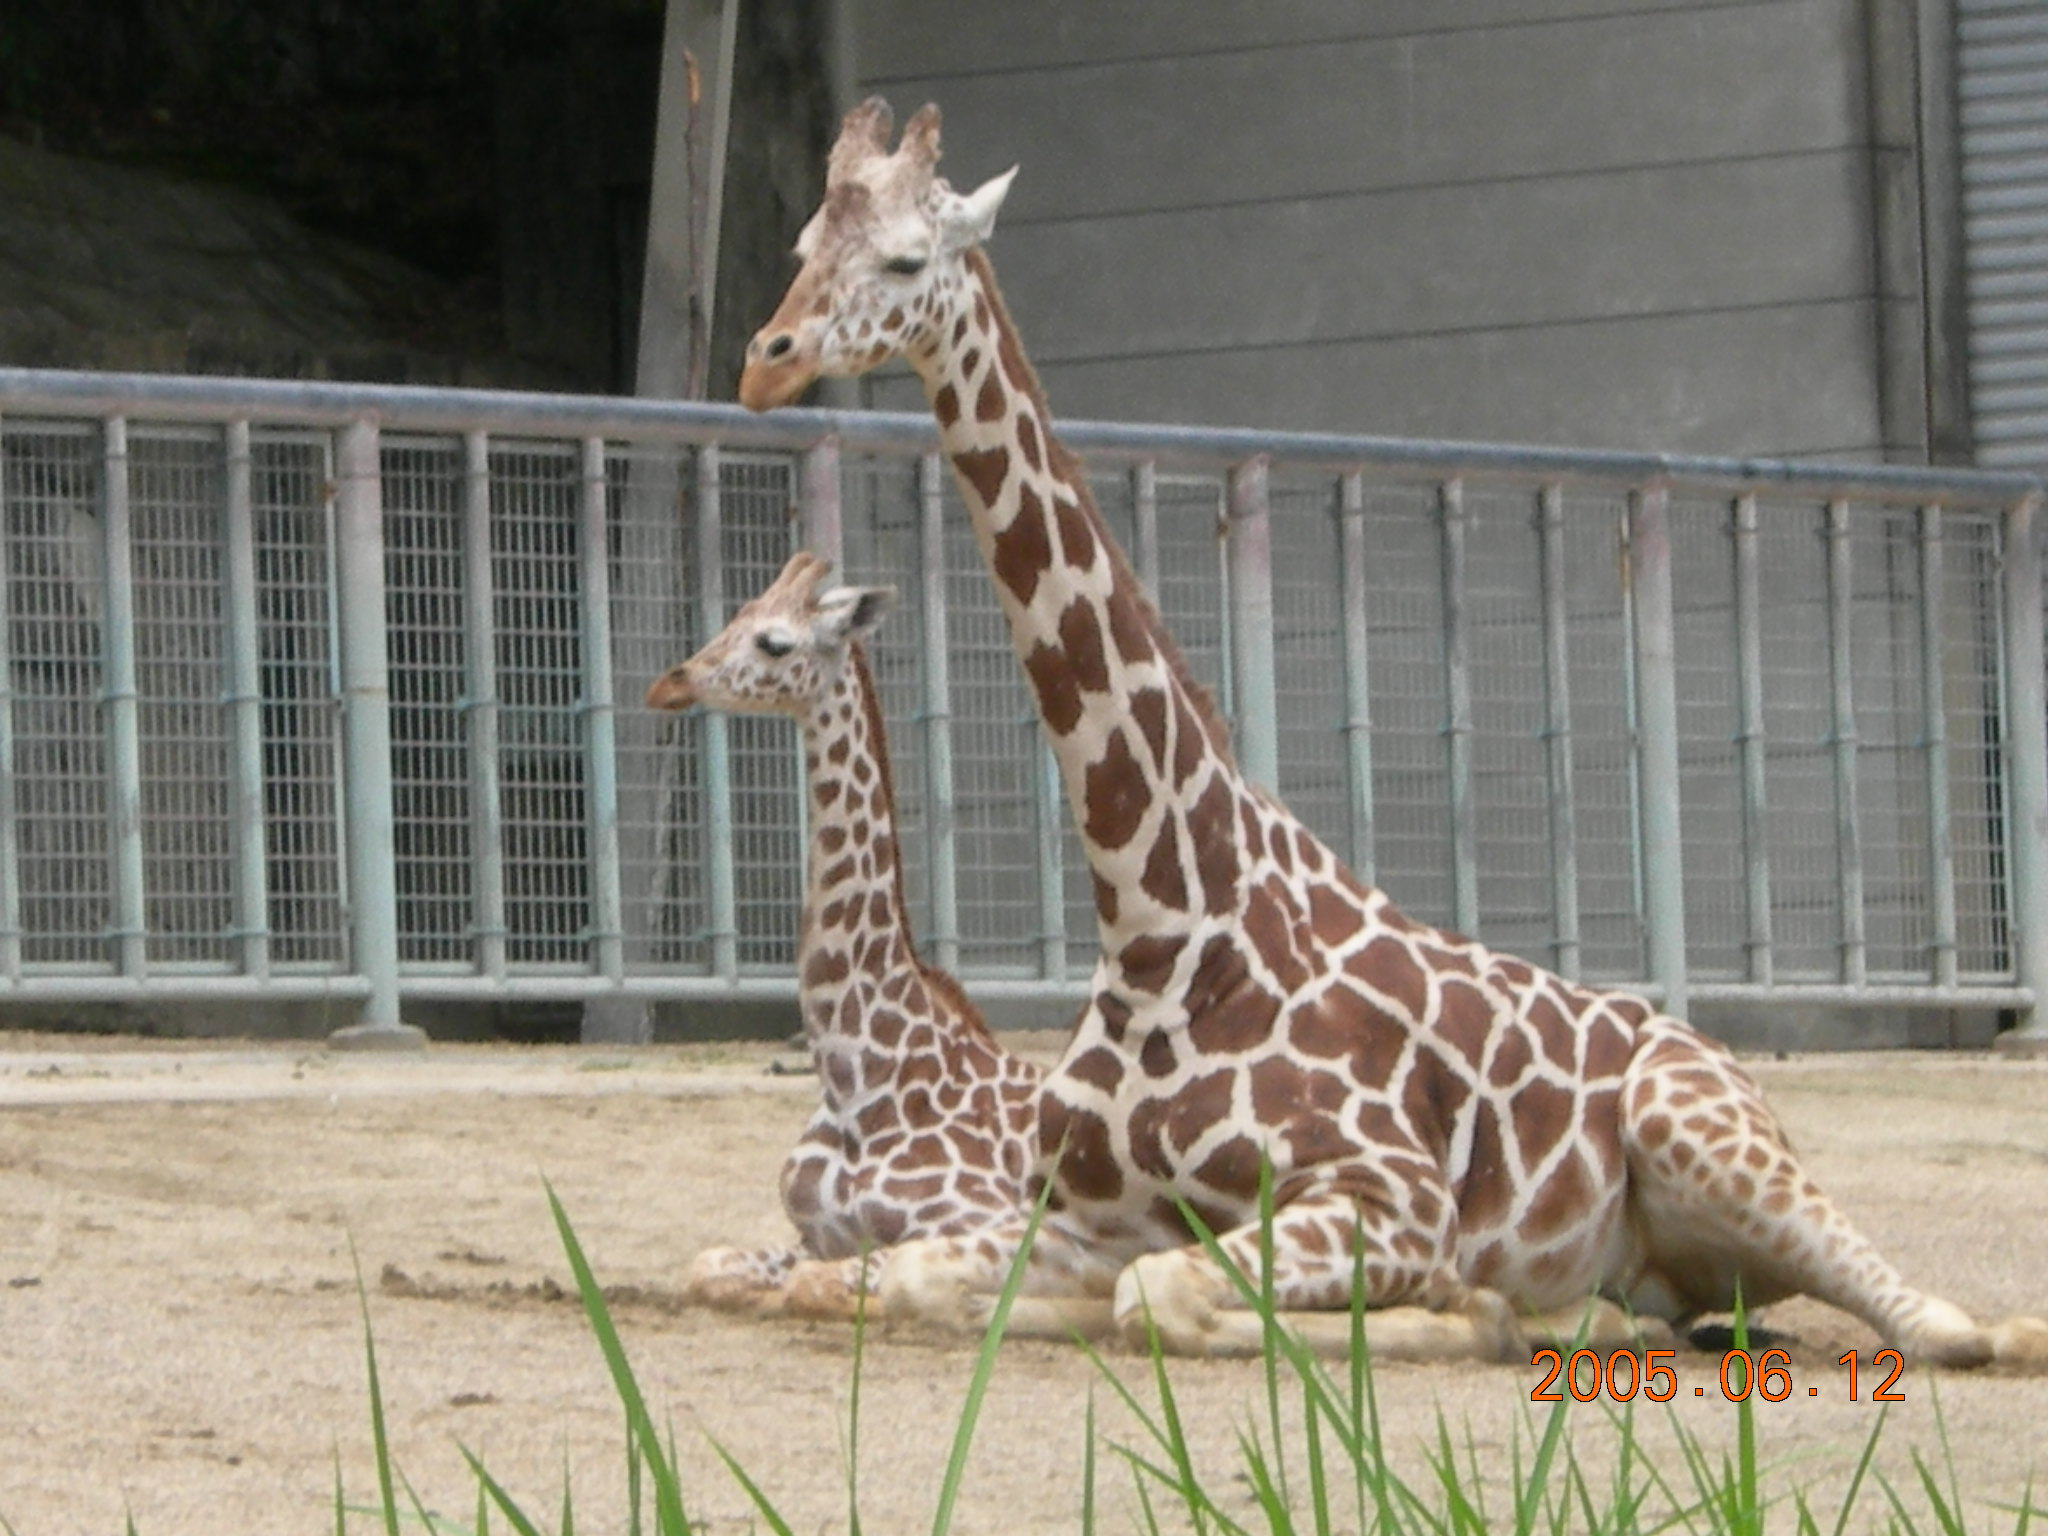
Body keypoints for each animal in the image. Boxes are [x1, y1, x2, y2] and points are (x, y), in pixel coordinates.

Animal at [643, 552, 1056, 1327]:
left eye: (775, 642)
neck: (858, 1081)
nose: (670, 683)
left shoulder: (992, 1221)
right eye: (736, 614)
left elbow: (819, 1289)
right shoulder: (813, 1233)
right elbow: (708, 1269)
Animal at [729, 96, 2039, 1368]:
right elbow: (918, 1282)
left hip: (1702, 1133)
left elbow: (1167, 1297)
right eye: (801, 248)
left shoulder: (1387, 1197)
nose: (764, 361)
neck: (1160, 916)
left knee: (1939, 1327)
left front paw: (1467, 1314)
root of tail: (1703, 1048)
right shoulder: (1072, 1218)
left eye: (905, 257)